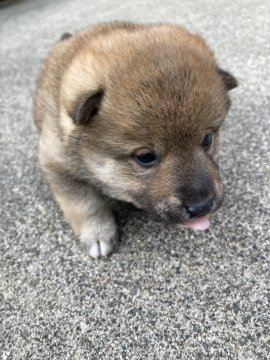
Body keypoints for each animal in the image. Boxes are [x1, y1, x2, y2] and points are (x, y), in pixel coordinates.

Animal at [33, 22, 236, 258]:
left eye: (206, 140)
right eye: (145, 157)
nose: (202, 206)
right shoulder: (59, 168)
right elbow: (86, 206)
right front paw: (97, 234)